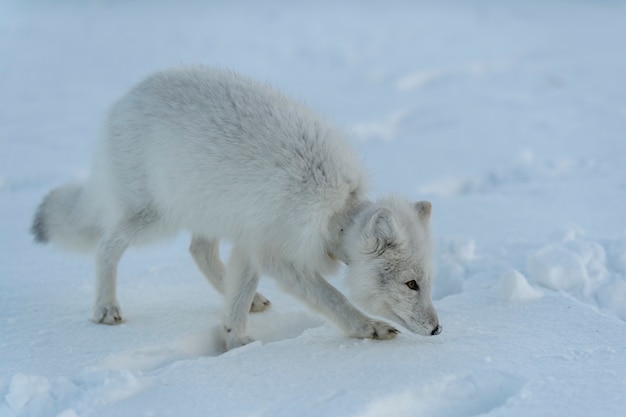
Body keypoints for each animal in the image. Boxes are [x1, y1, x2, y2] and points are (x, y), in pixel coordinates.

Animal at [33, 66, 438, 350]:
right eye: (411, 284)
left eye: (428, 282)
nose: (438, 329)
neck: (336, 211)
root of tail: (124, 99)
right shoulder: (278, 255)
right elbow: (333, 298)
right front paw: (369, 328)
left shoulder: (251, 245)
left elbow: (236, 300)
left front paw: (235, 343)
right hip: (154, 219)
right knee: (106, 246)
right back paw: (105, 308)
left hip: (211, 212)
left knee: (199, 250)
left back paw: (250, 300)